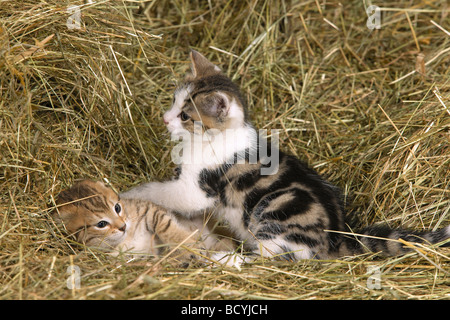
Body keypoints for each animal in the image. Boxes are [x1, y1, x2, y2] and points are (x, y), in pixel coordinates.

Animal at [53, 180, 232, 260]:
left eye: (117, 208)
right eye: (101, 224)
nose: (123, 226)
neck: (127, 238)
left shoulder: (151, 210)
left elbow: (165, 226)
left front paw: (187, 246)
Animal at [119, 50, 450, 260]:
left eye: (186, 116)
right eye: (174, 102)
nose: (165, 119)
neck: (210, 139)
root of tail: (338, 236)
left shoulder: (197, 189)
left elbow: (160, 192)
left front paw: (127, 196)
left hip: (276, 210)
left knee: (271, 260)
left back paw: (226, 259)